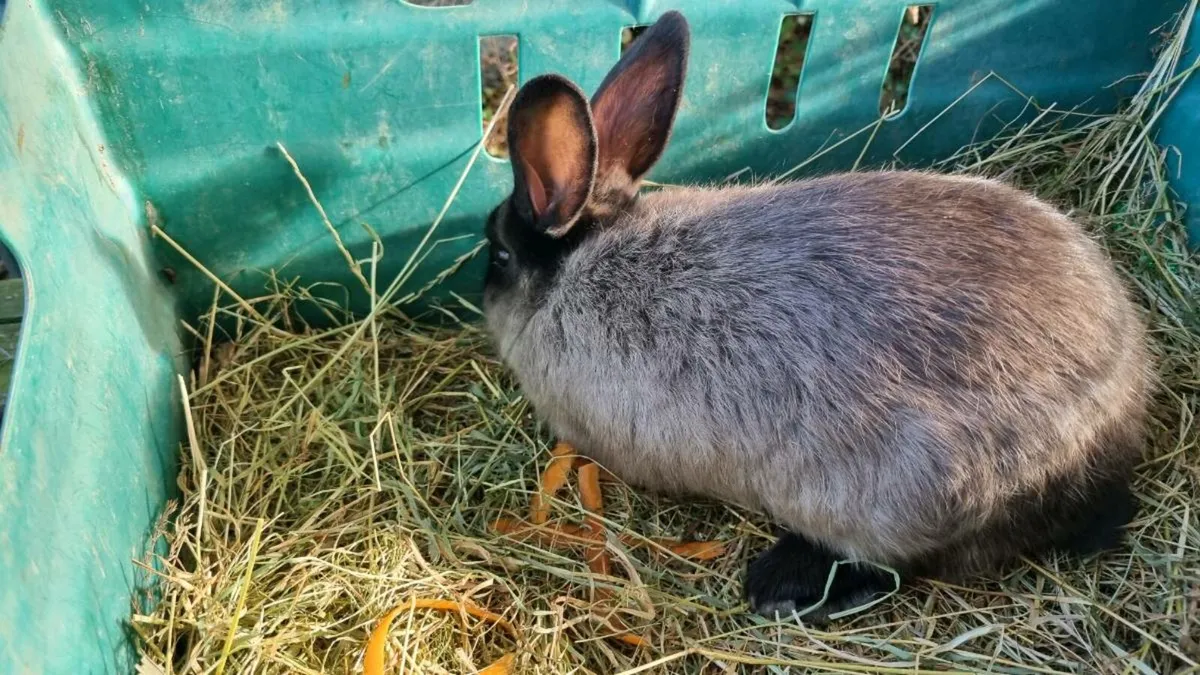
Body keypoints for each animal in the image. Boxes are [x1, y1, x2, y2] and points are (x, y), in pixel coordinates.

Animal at [482, 10, 1150, 620]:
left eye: (500, 253)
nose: (481, 285)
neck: (572, 270)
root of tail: (1110, 443)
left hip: (907, 498)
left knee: (901, 567)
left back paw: (782, 585)